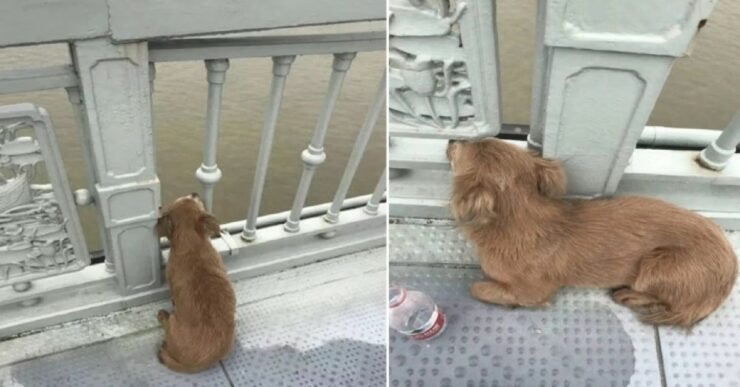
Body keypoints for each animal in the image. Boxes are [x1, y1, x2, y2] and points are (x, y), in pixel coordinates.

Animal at [155, 194, 236, 372]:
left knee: (167, 324)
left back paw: (163, 316)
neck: (191, 241)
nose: (194, 193)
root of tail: (194, 365)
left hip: (173, 324)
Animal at [448, 139, 736, 328]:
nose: (452, 139)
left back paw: (630, 295)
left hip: (656, 266)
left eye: (460, 150)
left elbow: (477, 287)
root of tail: (730, 273)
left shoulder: (532, 292)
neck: (522, 219)